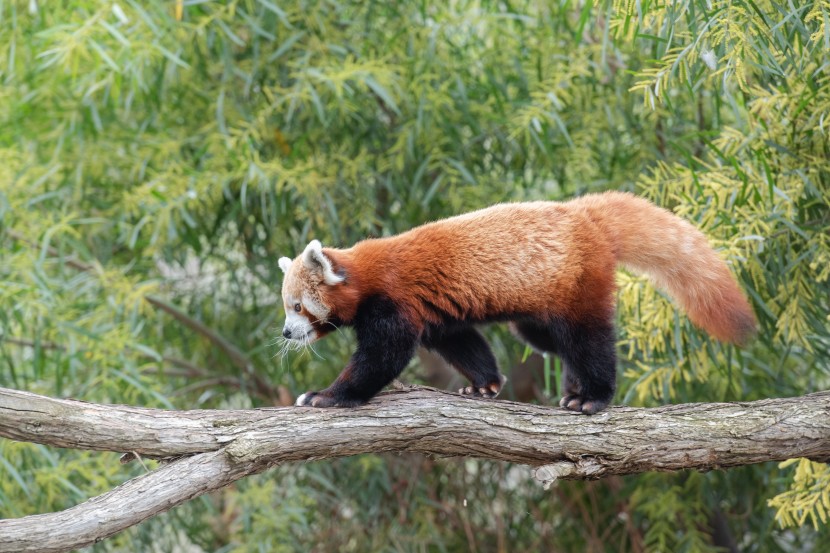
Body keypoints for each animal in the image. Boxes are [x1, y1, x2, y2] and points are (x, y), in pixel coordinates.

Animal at [282, 192, 760, 412]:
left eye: (298, 307)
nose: (287, 333)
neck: (364, 275)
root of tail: (585, 215)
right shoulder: (435, 314)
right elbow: (462, 341)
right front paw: (485, 383)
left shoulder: (393, 301)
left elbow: (382, 357)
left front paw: (326, 395)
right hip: (538, 311)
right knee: (553, 342)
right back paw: (573, 386)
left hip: (577, 285)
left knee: (589, 340)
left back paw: (592, 396)